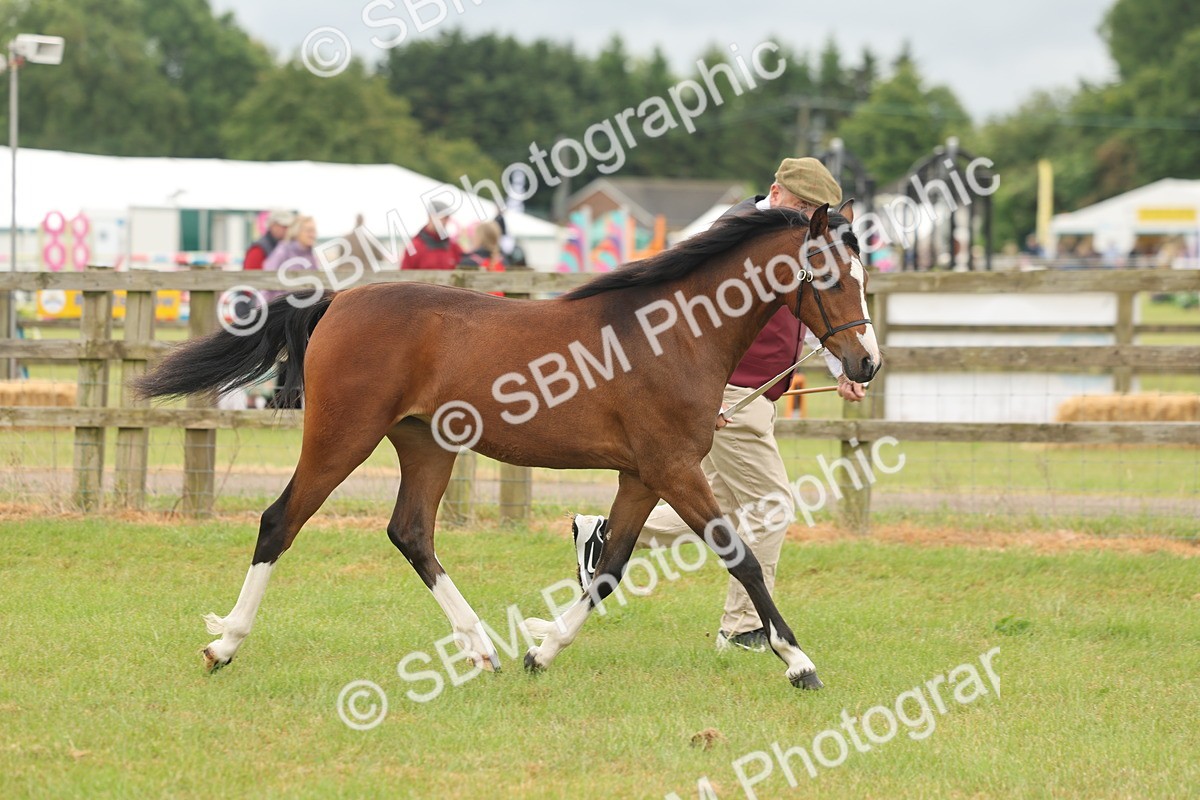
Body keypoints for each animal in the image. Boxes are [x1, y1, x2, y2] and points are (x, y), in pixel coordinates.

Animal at [135, 203, 880, 690]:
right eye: (830, 277)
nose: (866, 364)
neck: (672, 332)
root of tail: (338, 302)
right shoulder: (674, 468)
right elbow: (743, 558)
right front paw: (800, 663)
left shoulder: (643, 476)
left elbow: (609, 568)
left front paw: (541, 653)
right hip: (341, 436)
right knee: (279, 522)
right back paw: (224, 645)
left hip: (426, 446)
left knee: (411, 532)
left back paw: (482, 650)